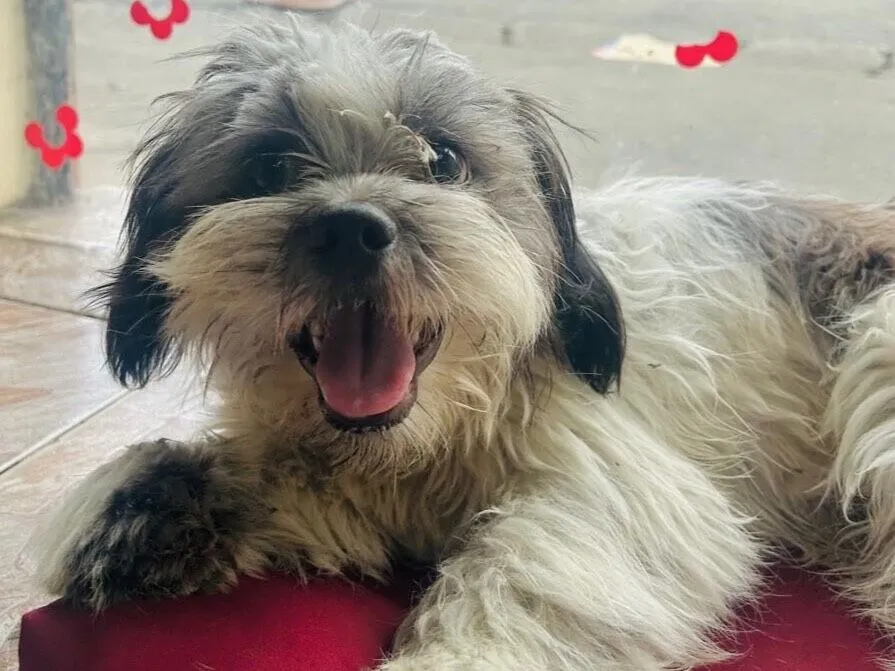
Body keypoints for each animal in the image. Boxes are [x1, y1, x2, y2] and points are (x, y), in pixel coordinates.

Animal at [32, 16, 895, 670]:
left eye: (442, 160)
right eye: (269, 166)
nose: (350, 226)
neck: (437, 431)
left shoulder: (616, 491)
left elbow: (524, 572)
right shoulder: (353, 484)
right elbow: (279, 478)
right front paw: (150, 502)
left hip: (876, 351)